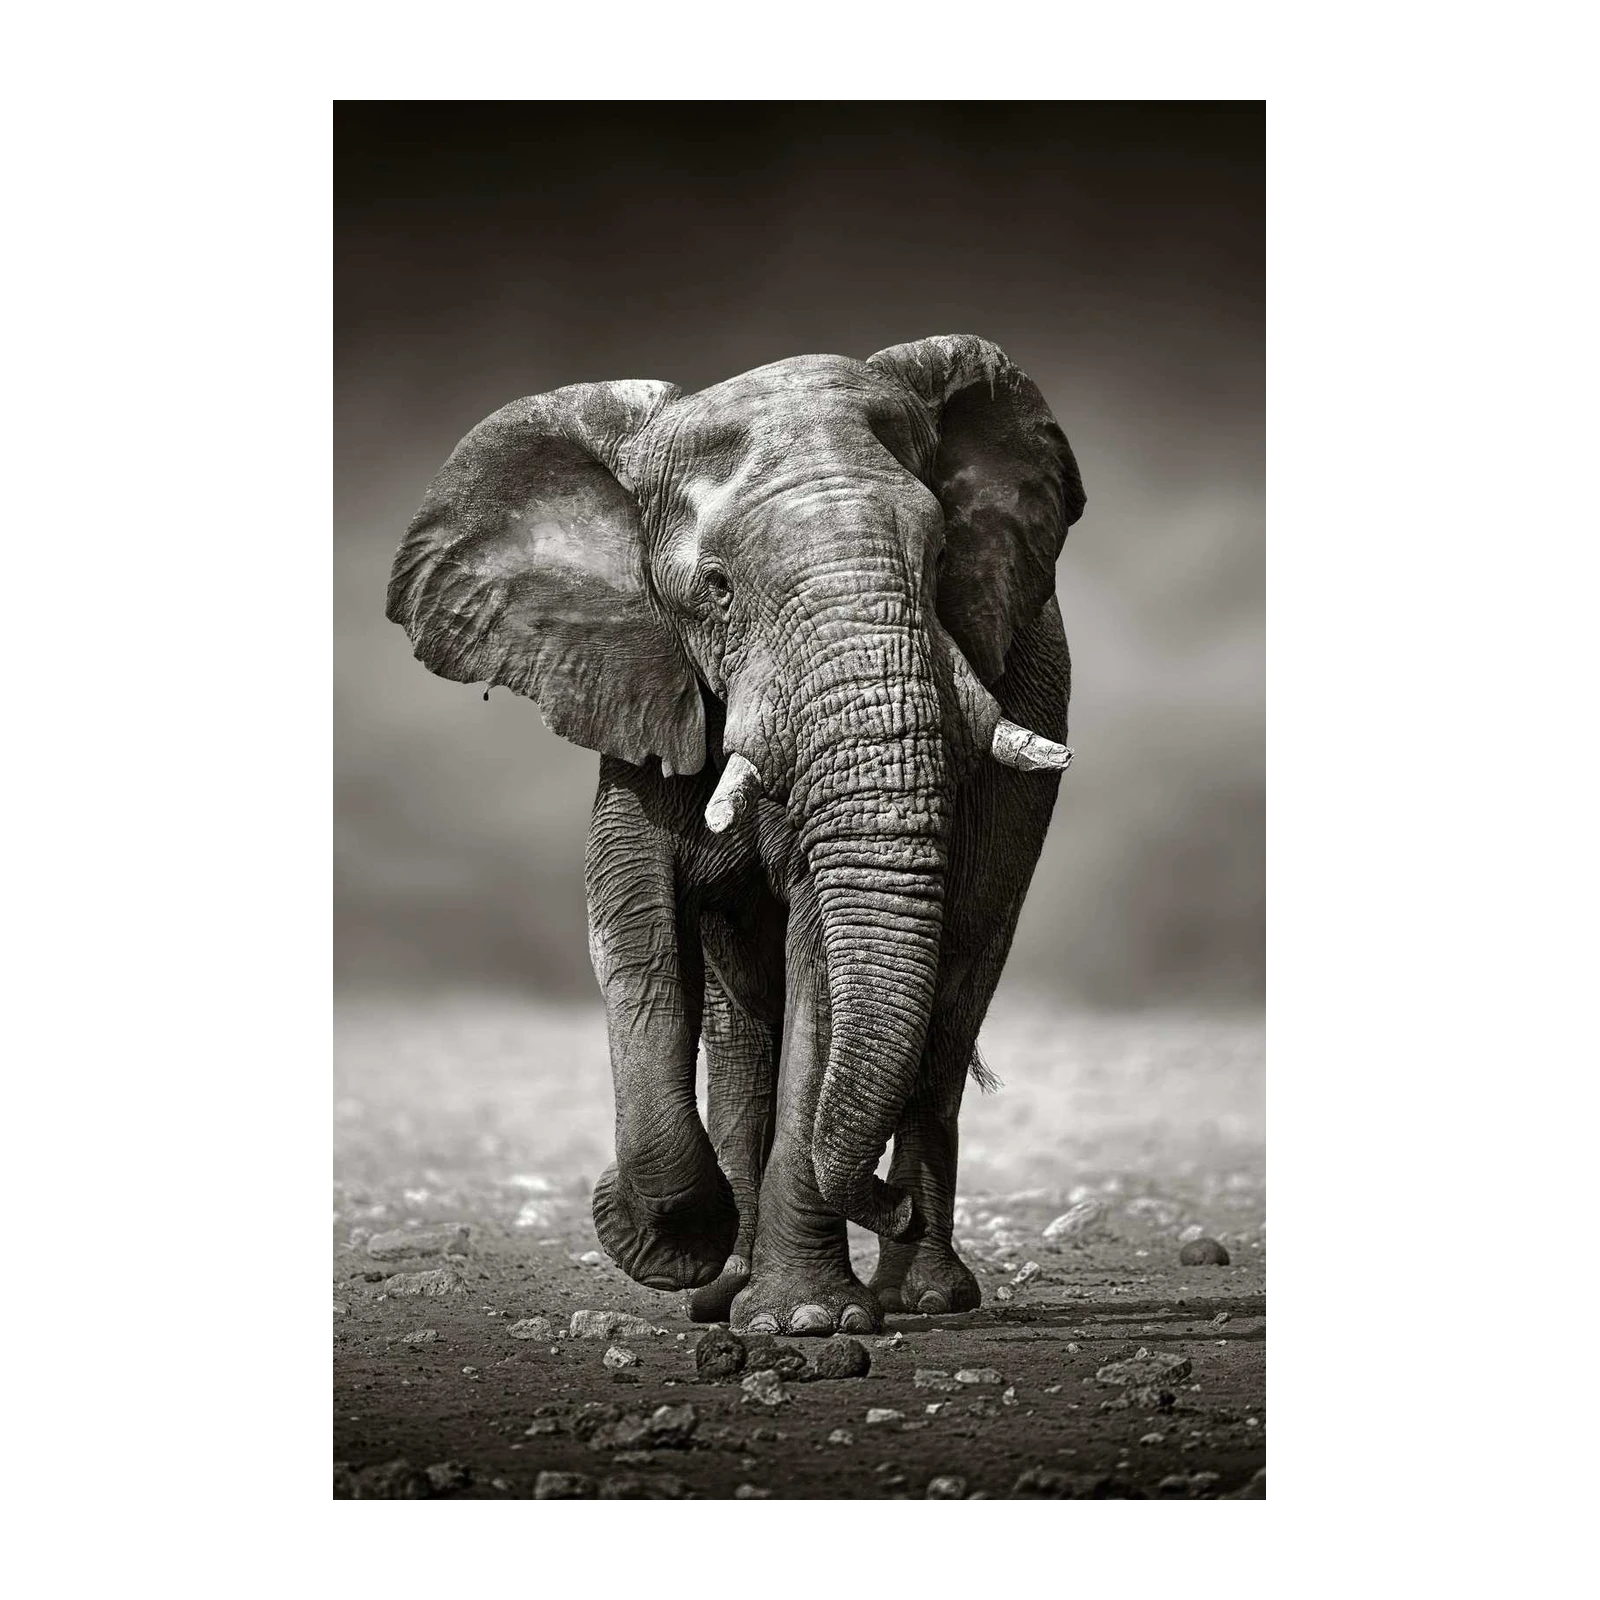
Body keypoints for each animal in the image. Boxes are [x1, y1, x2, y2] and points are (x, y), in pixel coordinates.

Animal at [386, 334, 1084, 1336]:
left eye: (944, 554)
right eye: (715, 589)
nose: (883, 1204)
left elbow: (822, 961)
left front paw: (807, 1321)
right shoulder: (640, 683)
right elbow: (633, 929)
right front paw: (673, 1246)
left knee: (950, 1002)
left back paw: (920, 1296)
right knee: (742, 1027)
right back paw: (727, 1289)